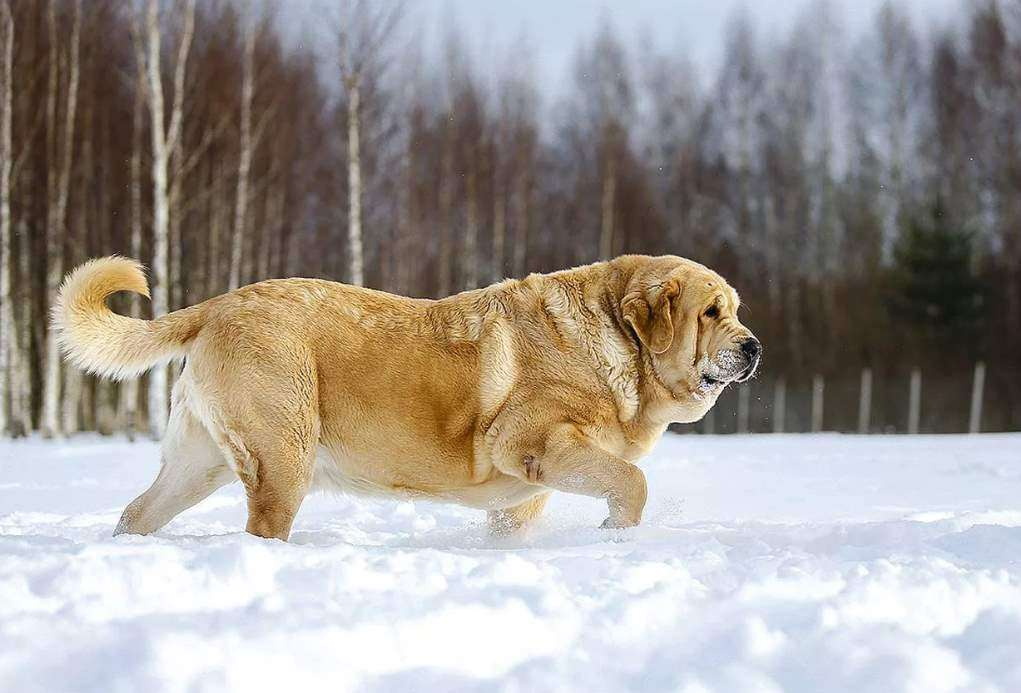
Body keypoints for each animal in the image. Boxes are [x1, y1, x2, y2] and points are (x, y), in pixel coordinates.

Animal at [53, 255, 759, 542]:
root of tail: (218, 305)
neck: (619, 337)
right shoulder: (531, 442)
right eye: (711, 312)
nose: (753, 347)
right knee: (262, 527)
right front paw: (614, 538)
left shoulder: (521, 495)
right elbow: (632, 482)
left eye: (736, 311)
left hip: (198, 464)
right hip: (282, 458)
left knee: (138, 512)